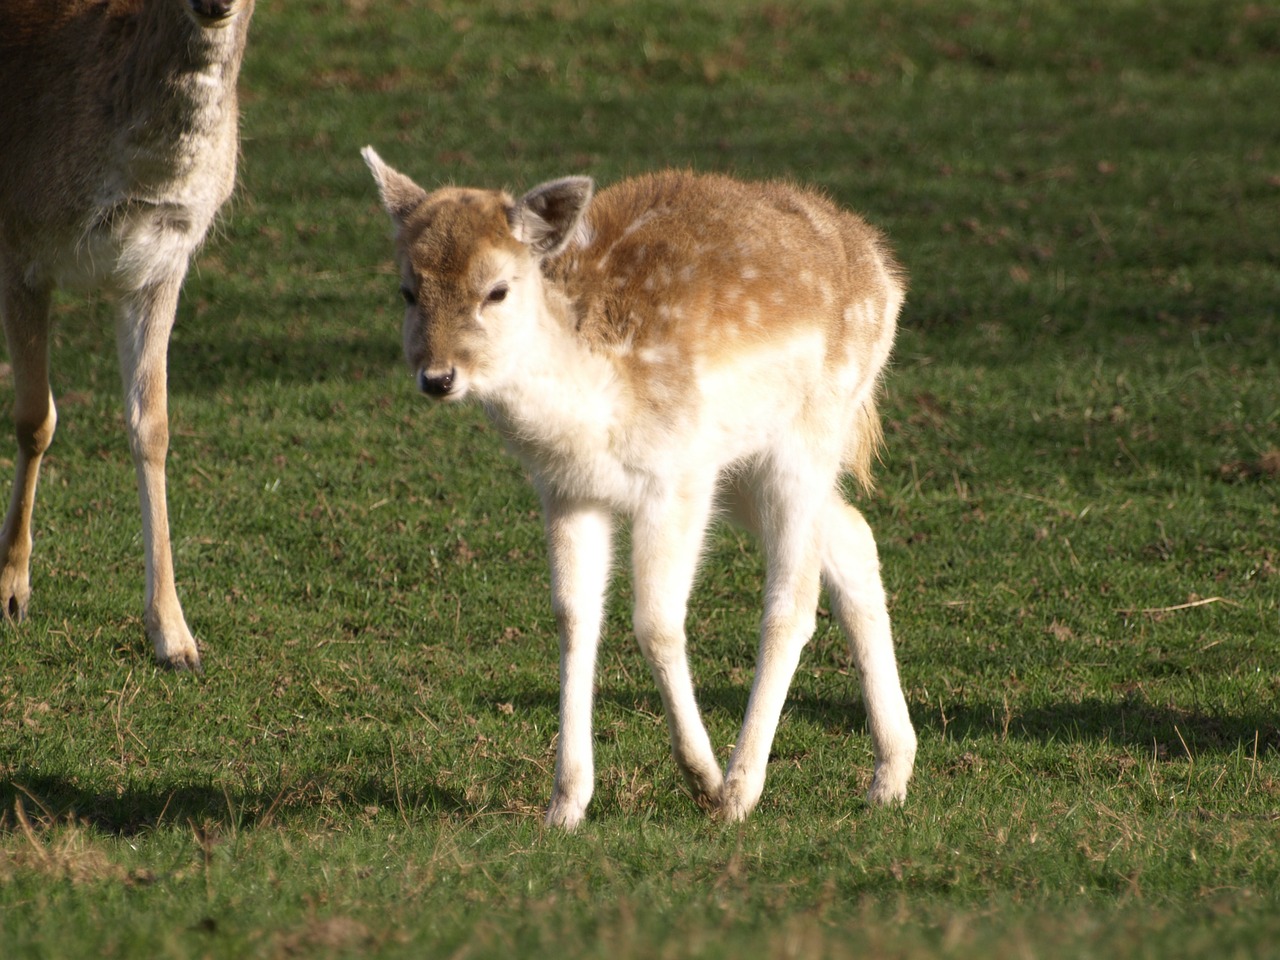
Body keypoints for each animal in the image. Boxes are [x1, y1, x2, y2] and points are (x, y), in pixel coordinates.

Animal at [0, 0, 254, 670]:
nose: (214, 3)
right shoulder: (20, 244)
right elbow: (34, 418)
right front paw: (11, 591)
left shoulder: (162, 265)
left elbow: (153, 427)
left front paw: (175, 636)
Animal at [366, 150, 916, 829]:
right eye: (408, 290)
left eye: (497, 289)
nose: (438, 377)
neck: (589, 407)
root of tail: (886, 271)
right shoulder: (567, 491)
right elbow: (574, 617)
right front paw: (565, 804)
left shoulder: (676, 476)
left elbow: (655, 620)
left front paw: (702, 779)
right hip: (747, 467)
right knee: (854, 535)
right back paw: (890, 774)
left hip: (808, 436)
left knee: (792, 598)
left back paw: (741, 788)